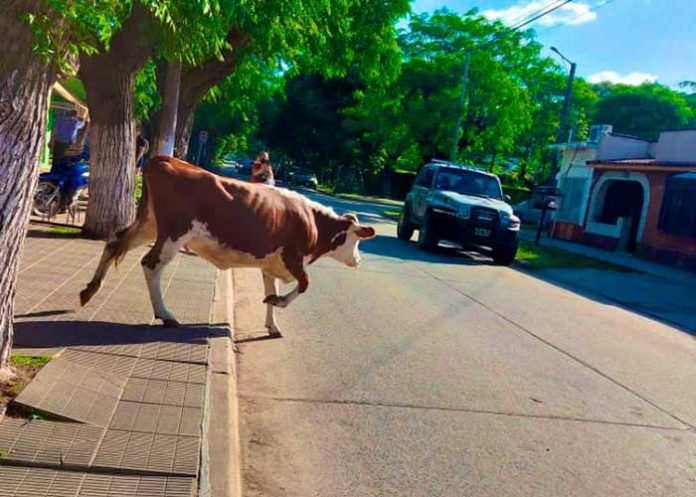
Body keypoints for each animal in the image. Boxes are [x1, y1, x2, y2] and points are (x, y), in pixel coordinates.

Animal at [79, 156, 376, 337]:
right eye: (357, 239)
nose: (359, 261)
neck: (312, 219)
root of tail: (166, 159)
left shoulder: (271, 263)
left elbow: (271, 290)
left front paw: (272, 324)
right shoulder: (293, 257)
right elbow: (303, 284)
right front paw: (278, 303)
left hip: (150, 224)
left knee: (116, 241)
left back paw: (89, 289)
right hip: (175, 233)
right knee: (150, 264)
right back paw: (166, 315)